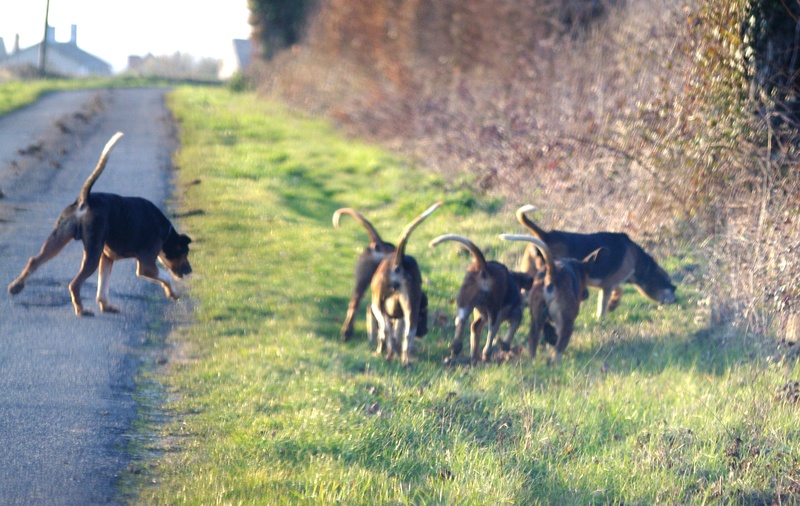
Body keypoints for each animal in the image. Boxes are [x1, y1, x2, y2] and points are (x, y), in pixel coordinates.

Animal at [8, 133, 192, 316]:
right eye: (185, 252)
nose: (190, 270)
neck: (167, 232)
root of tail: (85, 200)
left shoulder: (107, 259)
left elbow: (102, 288)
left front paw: (106, 306)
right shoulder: (145, 266)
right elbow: (167, 277)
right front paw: (174, 292)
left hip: (58, 240)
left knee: (34, 261)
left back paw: (16, 286)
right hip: (92, 253)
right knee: (74, 283)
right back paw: (81, 310)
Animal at [370, 203, 440, 368]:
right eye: (423, 313)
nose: (425, 331)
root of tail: (399, 260)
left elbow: (386, 334)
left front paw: (381, 352)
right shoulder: (401, 316)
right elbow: (398, 334)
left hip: (377, 304)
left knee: (385, 330)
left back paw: (388, 356)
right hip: (410, 308)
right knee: (409, 334)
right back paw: (405, 362)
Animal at [432, 233, 532, 364]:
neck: (515, 279)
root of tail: (483, 267)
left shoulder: (480, 316)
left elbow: (475, 330)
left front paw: (474, 355)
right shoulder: (516, 313)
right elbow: (510, 330)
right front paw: (504, 345)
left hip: (465, 302)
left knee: (462, 322)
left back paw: (458, 350)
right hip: (493, 308)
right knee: (491, 329)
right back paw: (486, 354)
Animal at [516, 205, 680, 316]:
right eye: (672, 287)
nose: (677, 300)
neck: (639, 261)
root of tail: (545, 235)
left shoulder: (607, 282)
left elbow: (618, 290)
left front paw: (613, 304)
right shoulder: (608, 284)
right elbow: (604, 304)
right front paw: (603, 316)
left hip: (529, 273)